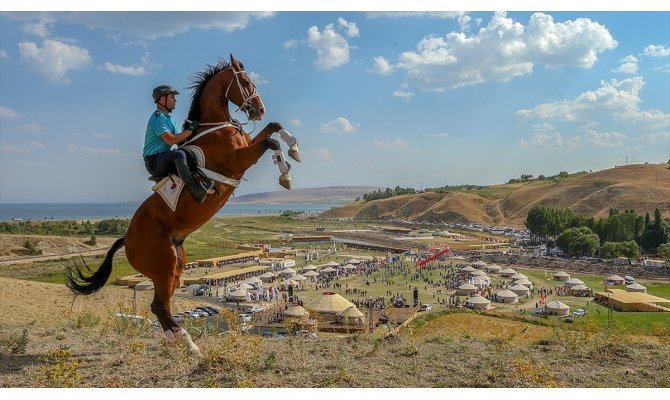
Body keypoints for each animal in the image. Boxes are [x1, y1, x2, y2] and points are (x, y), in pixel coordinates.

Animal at [66, 55, 296, 356]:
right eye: (245, 82)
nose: (259, 110)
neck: (217, 126)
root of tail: (127, 238)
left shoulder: (247, 148)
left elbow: (274, 128)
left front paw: (293, 149)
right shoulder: (239, 159)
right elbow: (269, 140)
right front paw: (286, 173)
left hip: (176, 263)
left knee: (160, 306)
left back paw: (178, 341)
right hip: (163, 263)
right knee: (159, 305)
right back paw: (190, 345)